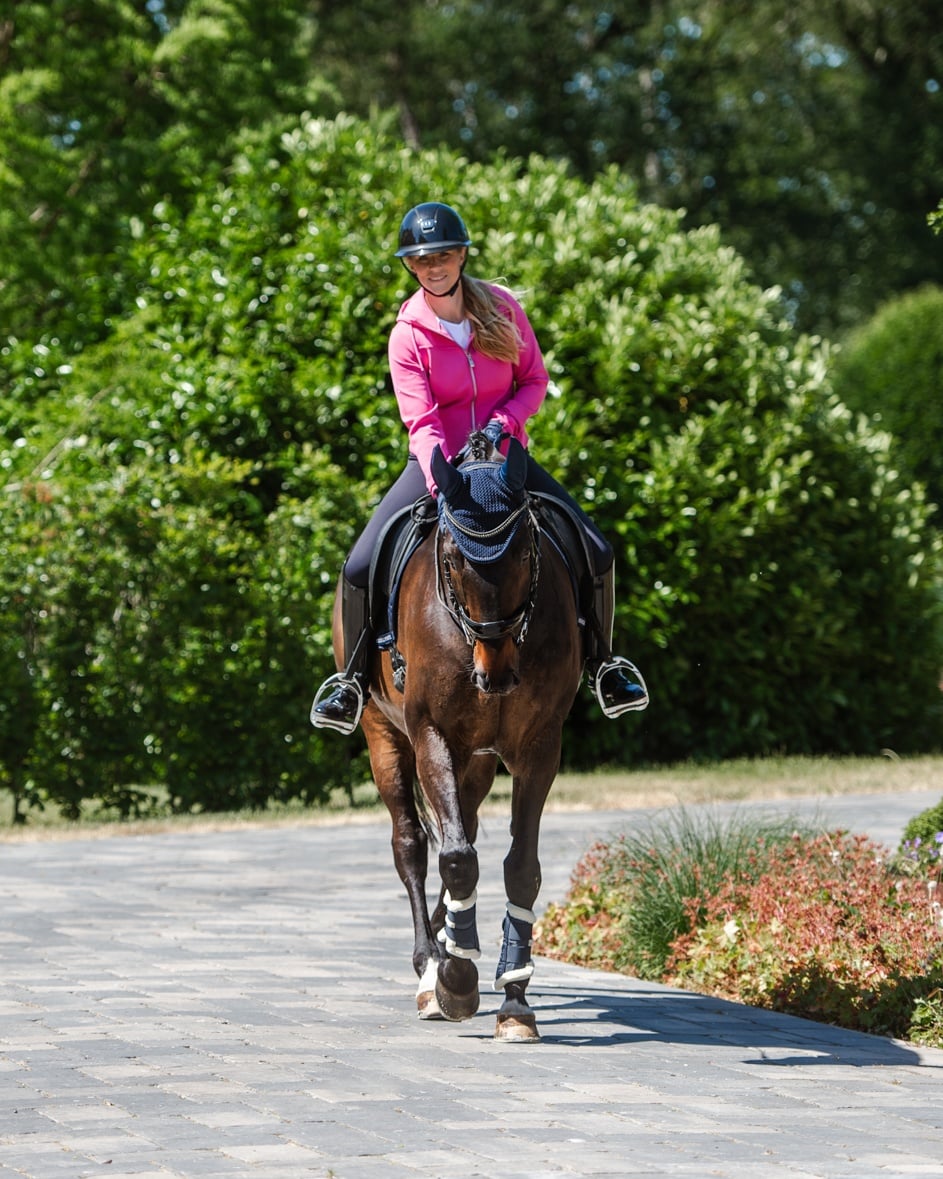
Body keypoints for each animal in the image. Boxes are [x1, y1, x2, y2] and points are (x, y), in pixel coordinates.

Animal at [332, 433, 582, 1042]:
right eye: (449, 559)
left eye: (526, 553)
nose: (495, 674)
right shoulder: (431, 734)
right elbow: (455, 859)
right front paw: (458, 982)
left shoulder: (540, 745)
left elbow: (520, 866)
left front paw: (514, 1000)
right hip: (385, 738)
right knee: (413, 845)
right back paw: (431, 966)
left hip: (478, 761)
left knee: (460, 825)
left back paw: (449, 943)